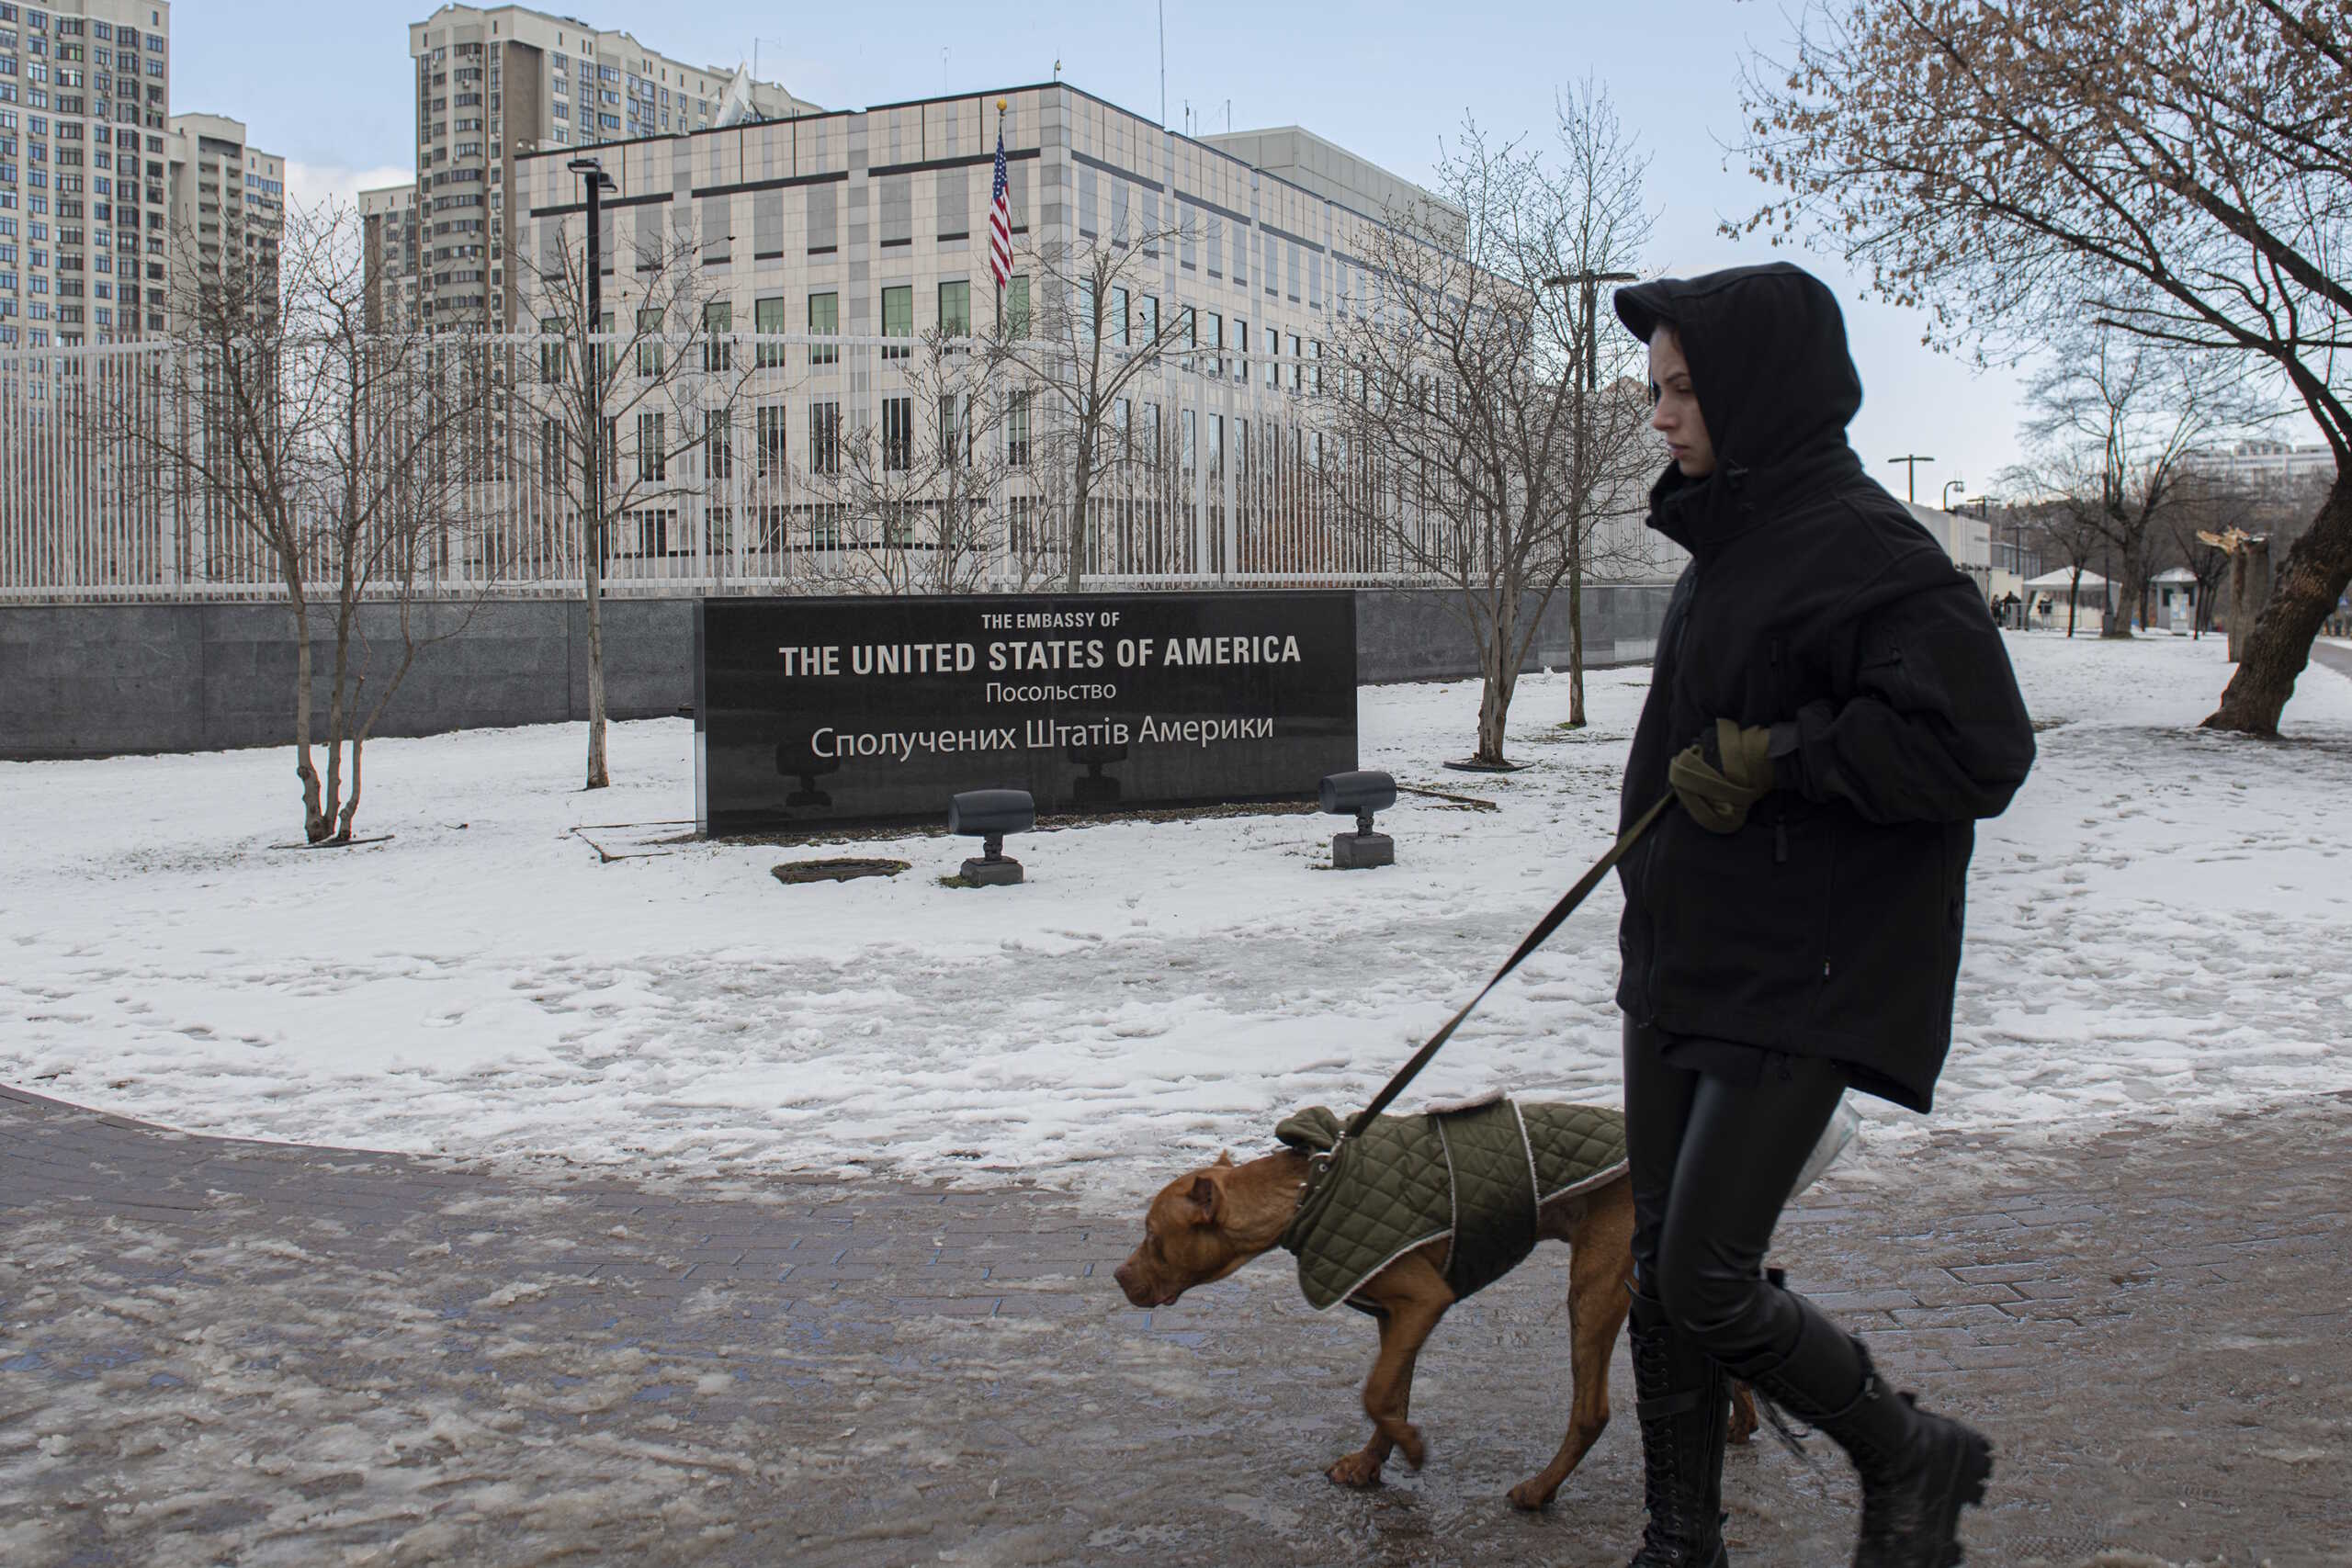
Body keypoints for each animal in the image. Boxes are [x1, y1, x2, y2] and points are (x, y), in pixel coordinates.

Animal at [1101, 1146, 1749, 1504]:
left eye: (1153, 1237)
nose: (1117, 1274)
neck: (1306, 1194)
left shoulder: (1421, 1299)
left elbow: (1375, 1394)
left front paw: (1408, 1448)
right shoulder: (1398, 1316)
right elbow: (1392, 1393)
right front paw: (1371, 1463)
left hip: (1593, 1288)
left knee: (1591, 1412)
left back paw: (1540, 1491)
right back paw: (1741, 1423)